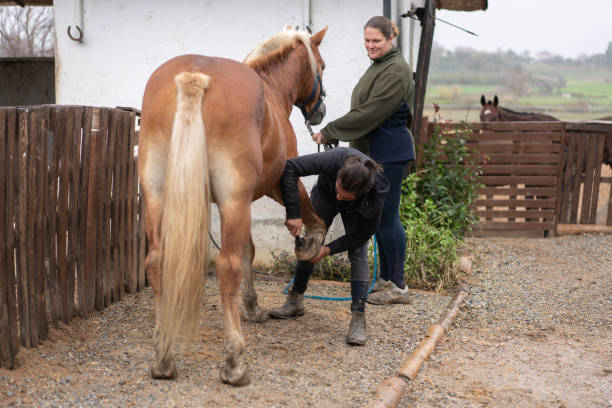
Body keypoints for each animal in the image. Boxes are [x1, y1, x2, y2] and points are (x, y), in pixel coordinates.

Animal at [139, 27, 330, 386]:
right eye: (321, 66)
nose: (320, 112)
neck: (271, 90)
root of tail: (194, 78)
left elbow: (248, 251)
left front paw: (252, 307)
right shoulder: (279, 183)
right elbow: (311, 217)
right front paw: (310, 244)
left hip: (157, 195)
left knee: (157, 261)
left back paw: (163, 356)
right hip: (233, 201)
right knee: (227, 266)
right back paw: (235, 362)